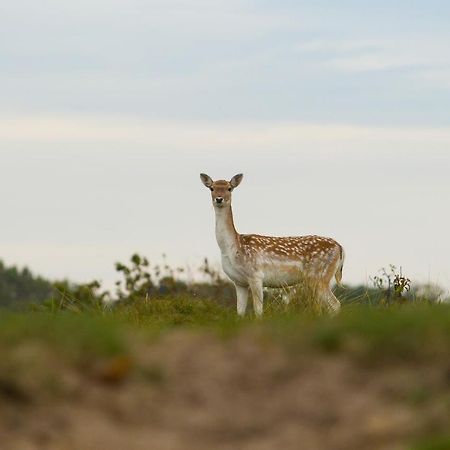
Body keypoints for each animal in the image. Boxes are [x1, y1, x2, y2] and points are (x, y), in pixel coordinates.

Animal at [200, 172, 344, 316]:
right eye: (211, 188)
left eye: (229, 188)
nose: (219, 199)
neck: (232, 248)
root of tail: (340, 248)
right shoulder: (239, 282)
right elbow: (240, 313)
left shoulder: (256, 275)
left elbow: (258, 311)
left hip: (319, 276)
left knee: (335, 304)